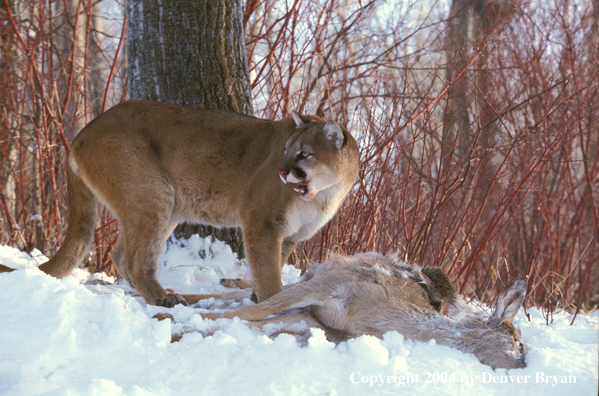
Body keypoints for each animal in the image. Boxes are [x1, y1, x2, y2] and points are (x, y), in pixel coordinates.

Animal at [0, 100, 358, 308]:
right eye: (285, 149)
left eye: (304, 153)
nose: (282, 171)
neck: (325, 192)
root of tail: (85, 129)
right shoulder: (263, 221)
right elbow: (268, 270)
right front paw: (271, 303)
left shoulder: (292, 235)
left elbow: (271, 266)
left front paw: (258, 297)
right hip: (152, 193)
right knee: (136, 259)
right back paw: (164, 298)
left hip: (163, 204)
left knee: (121, 255)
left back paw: (160, 294)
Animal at [178, 252, 524, 370]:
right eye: (519, 343)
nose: (523, 365)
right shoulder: (336, 282)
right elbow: (256, 312)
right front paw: (179, 322)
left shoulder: (320, 322)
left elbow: (258, 319)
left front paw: (185, 328)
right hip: (329, 270)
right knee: (269, 290)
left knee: (263, 291)